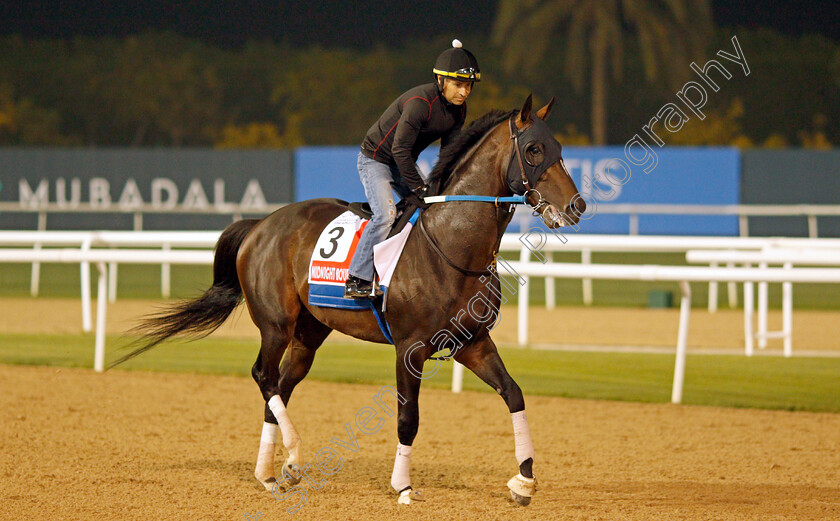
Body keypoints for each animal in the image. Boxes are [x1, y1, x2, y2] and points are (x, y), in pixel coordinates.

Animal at [110, 95, 584, 506]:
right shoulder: (410, 348)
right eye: (535, 149)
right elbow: (408, 418)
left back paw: (270, 474)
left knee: (280, 385)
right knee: (263, 375)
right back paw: (295, 456)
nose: (577, 206)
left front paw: (524, 481)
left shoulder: (472, 342)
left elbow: (514, 394)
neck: (451, 245)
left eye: (561, 149)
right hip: (275, 324)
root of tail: (260, 224)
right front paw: (403, 486)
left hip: (309, 332)